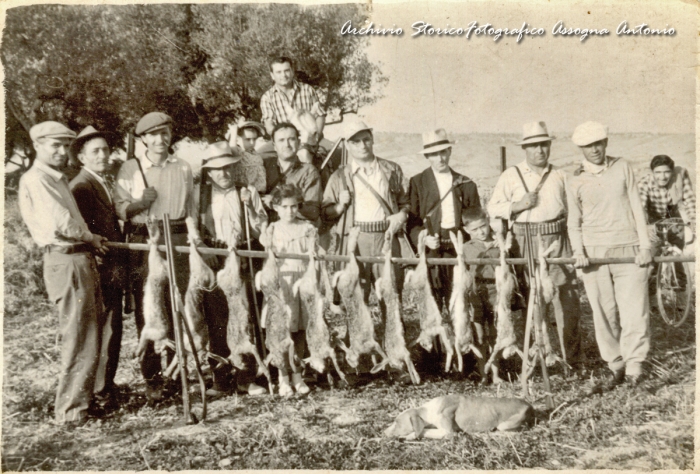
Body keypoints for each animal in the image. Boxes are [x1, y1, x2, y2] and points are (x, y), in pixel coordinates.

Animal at [386, 394, 532, 438]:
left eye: (397, 422)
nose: (383, 432)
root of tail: (529, 405)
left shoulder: (447, 432)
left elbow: (423, 430)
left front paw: (410, 436)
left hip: (505, 425)